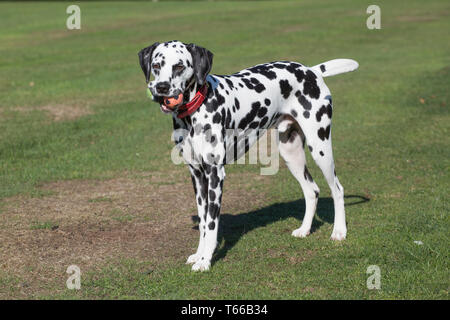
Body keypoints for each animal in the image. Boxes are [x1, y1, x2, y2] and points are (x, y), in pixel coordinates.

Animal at [137, 39, 358, 270]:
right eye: (156, 65)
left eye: (179, 66)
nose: (161, 88)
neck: (196, 110)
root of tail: (311, 71)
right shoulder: (197, 176)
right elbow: (203, 222)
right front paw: (199, 255)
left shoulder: (215, 175)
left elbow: (211, 223)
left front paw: (206, 261)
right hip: (291, 153)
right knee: (312, 190)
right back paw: (305, 229)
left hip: (320, 148)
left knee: (337, 189)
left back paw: (339, 231)